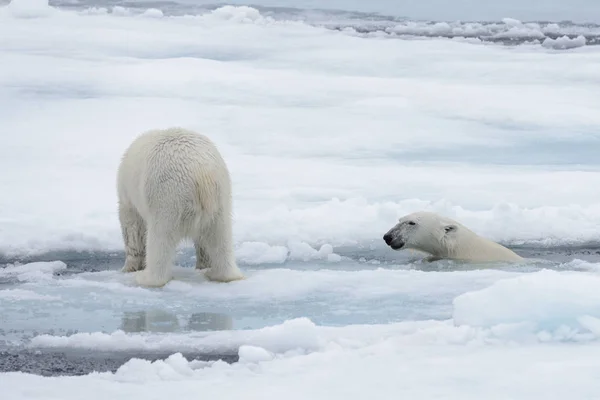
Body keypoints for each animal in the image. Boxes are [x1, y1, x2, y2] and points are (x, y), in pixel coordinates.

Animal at [117, 126, 244, 286]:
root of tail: (201, 173)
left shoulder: (128, 198)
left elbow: (133, 229)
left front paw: (130, 266)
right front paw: (204, 263)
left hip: (167, 195)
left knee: (160, 236)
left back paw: (148, 278)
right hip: (221, 195)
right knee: (220, 235)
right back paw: (222, 274)